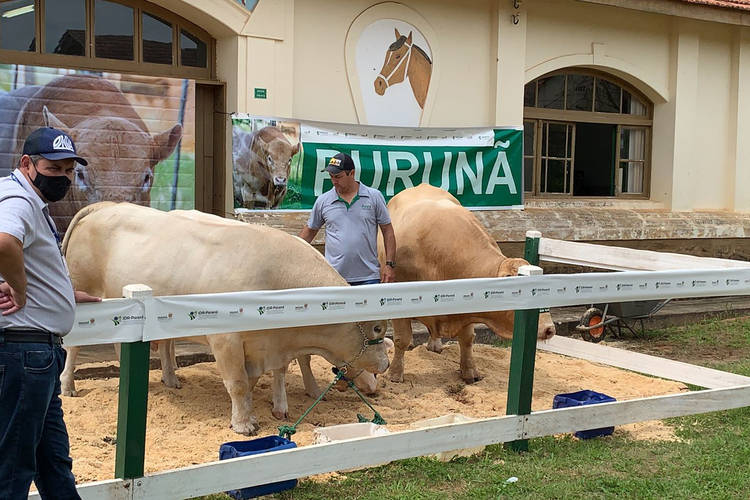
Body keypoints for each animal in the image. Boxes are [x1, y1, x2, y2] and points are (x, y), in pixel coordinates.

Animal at [61, 202, 390, 434]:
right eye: (376, 327)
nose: (385, 367)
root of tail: (105, 206)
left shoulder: (266, 346)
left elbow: (258, 378)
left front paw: (262, 411)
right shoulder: (225, 339)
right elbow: (238, 382)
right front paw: (244, 425)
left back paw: (168, 380)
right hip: (83, 292)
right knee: (74, 347)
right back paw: (68, 386)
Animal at [376, 184, 560, 382]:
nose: (549, 329)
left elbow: (467, 339)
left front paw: (470, 372)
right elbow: (402, 340)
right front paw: (395, 374)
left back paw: (435, 345)